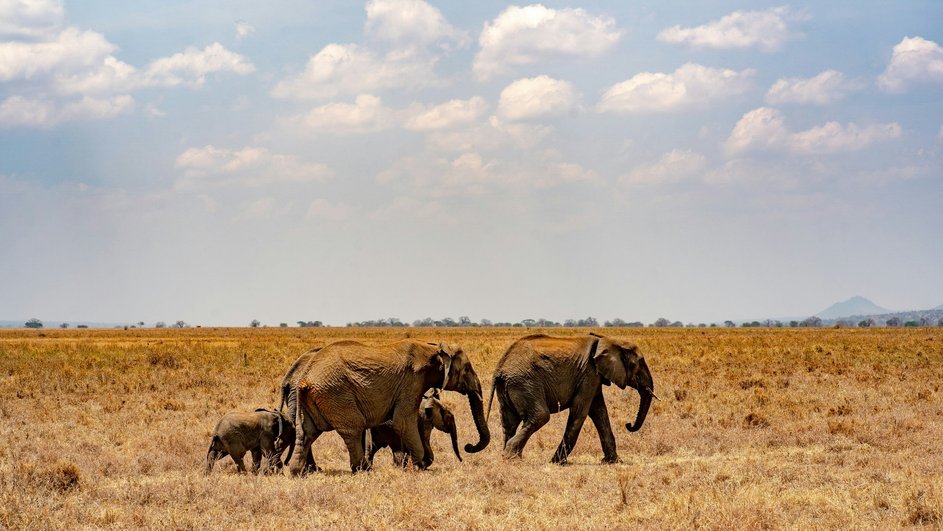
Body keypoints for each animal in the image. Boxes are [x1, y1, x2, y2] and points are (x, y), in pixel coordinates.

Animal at [284, 340, 490, 474]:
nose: (468, 447)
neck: (433, 349)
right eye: (467, 369)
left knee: (306, 432)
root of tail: (305, 378)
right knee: (353, 428)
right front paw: (419, 465)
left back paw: (298, 472)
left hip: (313, 398)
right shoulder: (412, 382)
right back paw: (363, 469)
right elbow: (403, 422)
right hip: (335, 393)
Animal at [486, 332, 656, 466]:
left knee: (509, 422)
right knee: (540, 416)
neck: (608, 340)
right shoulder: (589, 373)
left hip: (510, 385)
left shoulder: (594, 377)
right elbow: (580, 411)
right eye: (640, 363)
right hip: (525, 382)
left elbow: (599, 412)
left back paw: (510, 457)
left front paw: (613, 462)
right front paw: (556, 462)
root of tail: (500, 368)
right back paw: (511, 458)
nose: (629, 425)